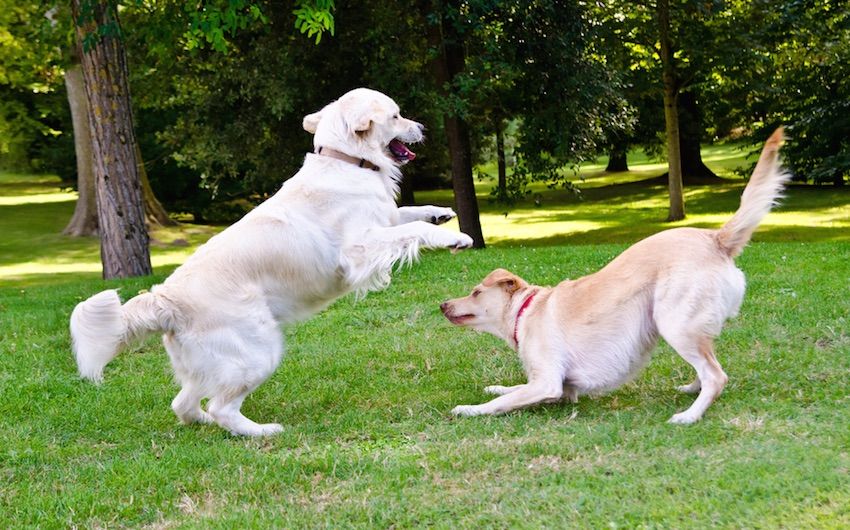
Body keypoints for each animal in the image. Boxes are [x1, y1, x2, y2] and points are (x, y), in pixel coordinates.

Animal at [70, 87, 474, 434]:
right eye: (396, 115)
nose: (422, 128)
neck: (346, 161)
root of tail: (165, 298)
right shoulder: (357, 250)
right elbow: (413, 229)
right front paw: (454, 237)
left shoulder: (384, 219)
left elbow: (409, 213)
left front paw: (442, 213)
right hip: (257, 351)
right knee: (221, 407)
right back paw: (262, 431)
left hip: (207, 364)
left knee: (184, 405)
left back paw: (207, 423)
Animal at [440, 130, 784, 422]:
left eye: (475, 292)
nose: (443, 304)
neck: (526, 312)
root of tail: (716, 239)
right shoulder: (557, 387)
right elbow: (511, 389)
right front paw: (494, 387)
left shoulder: (548, 382)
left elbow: (501, 402)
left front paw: (469, 408)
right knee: (707, 366)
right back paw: (691, 389)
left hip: (674, 322)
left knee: (716, 375)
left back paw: (689, 415)